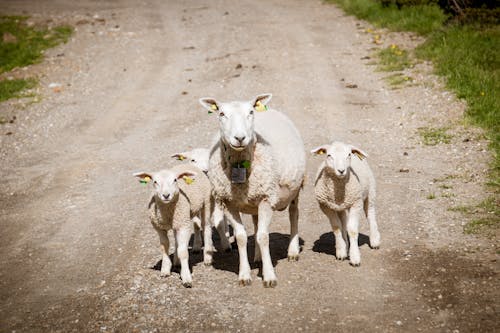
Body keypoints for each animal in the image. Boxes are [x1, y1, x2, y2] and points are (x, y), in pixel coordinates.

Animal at [199, 92, 304, 286]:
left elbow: (264, 237)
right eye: (221, 114)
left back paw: (293, 251)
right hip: (255, 200)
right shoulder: (229, 202)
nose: (240, 138)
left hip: (295, 187)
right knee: (256, 225)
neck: (240, 163)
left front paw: (269, 276)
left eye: (250, 112)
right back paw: (257, 257)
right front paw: (244, 275)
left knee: (294, 214)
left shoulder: (266, 198)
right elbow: (241, 237)